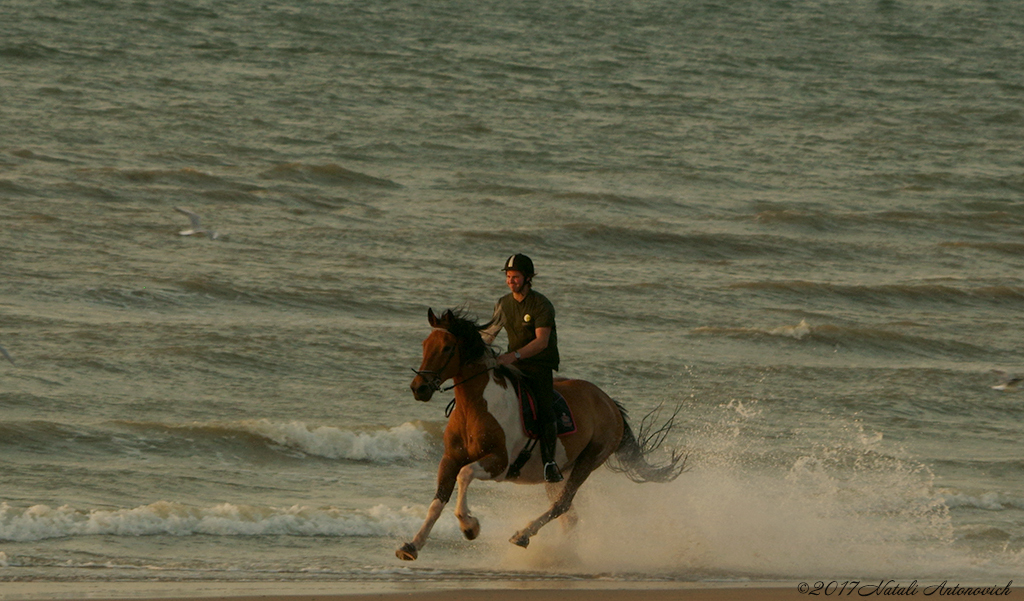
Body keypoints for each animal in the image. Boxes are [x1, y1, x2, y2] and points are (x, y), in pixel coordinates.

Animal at [395, 307, 684, 561]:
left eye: (447, 347)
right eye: (425, 345)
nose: (419, 388)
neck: (475, 407)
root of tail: (609, 403)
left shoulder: (499, 463)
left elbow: (465, 476)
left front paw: (470, 527)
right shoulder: (450, 459)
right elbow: (437, 502)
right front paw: (411, 546)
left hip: (590, 459)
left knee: (562, 505)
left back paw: (523, 535)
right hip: (558, 472)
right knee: (569, 516)